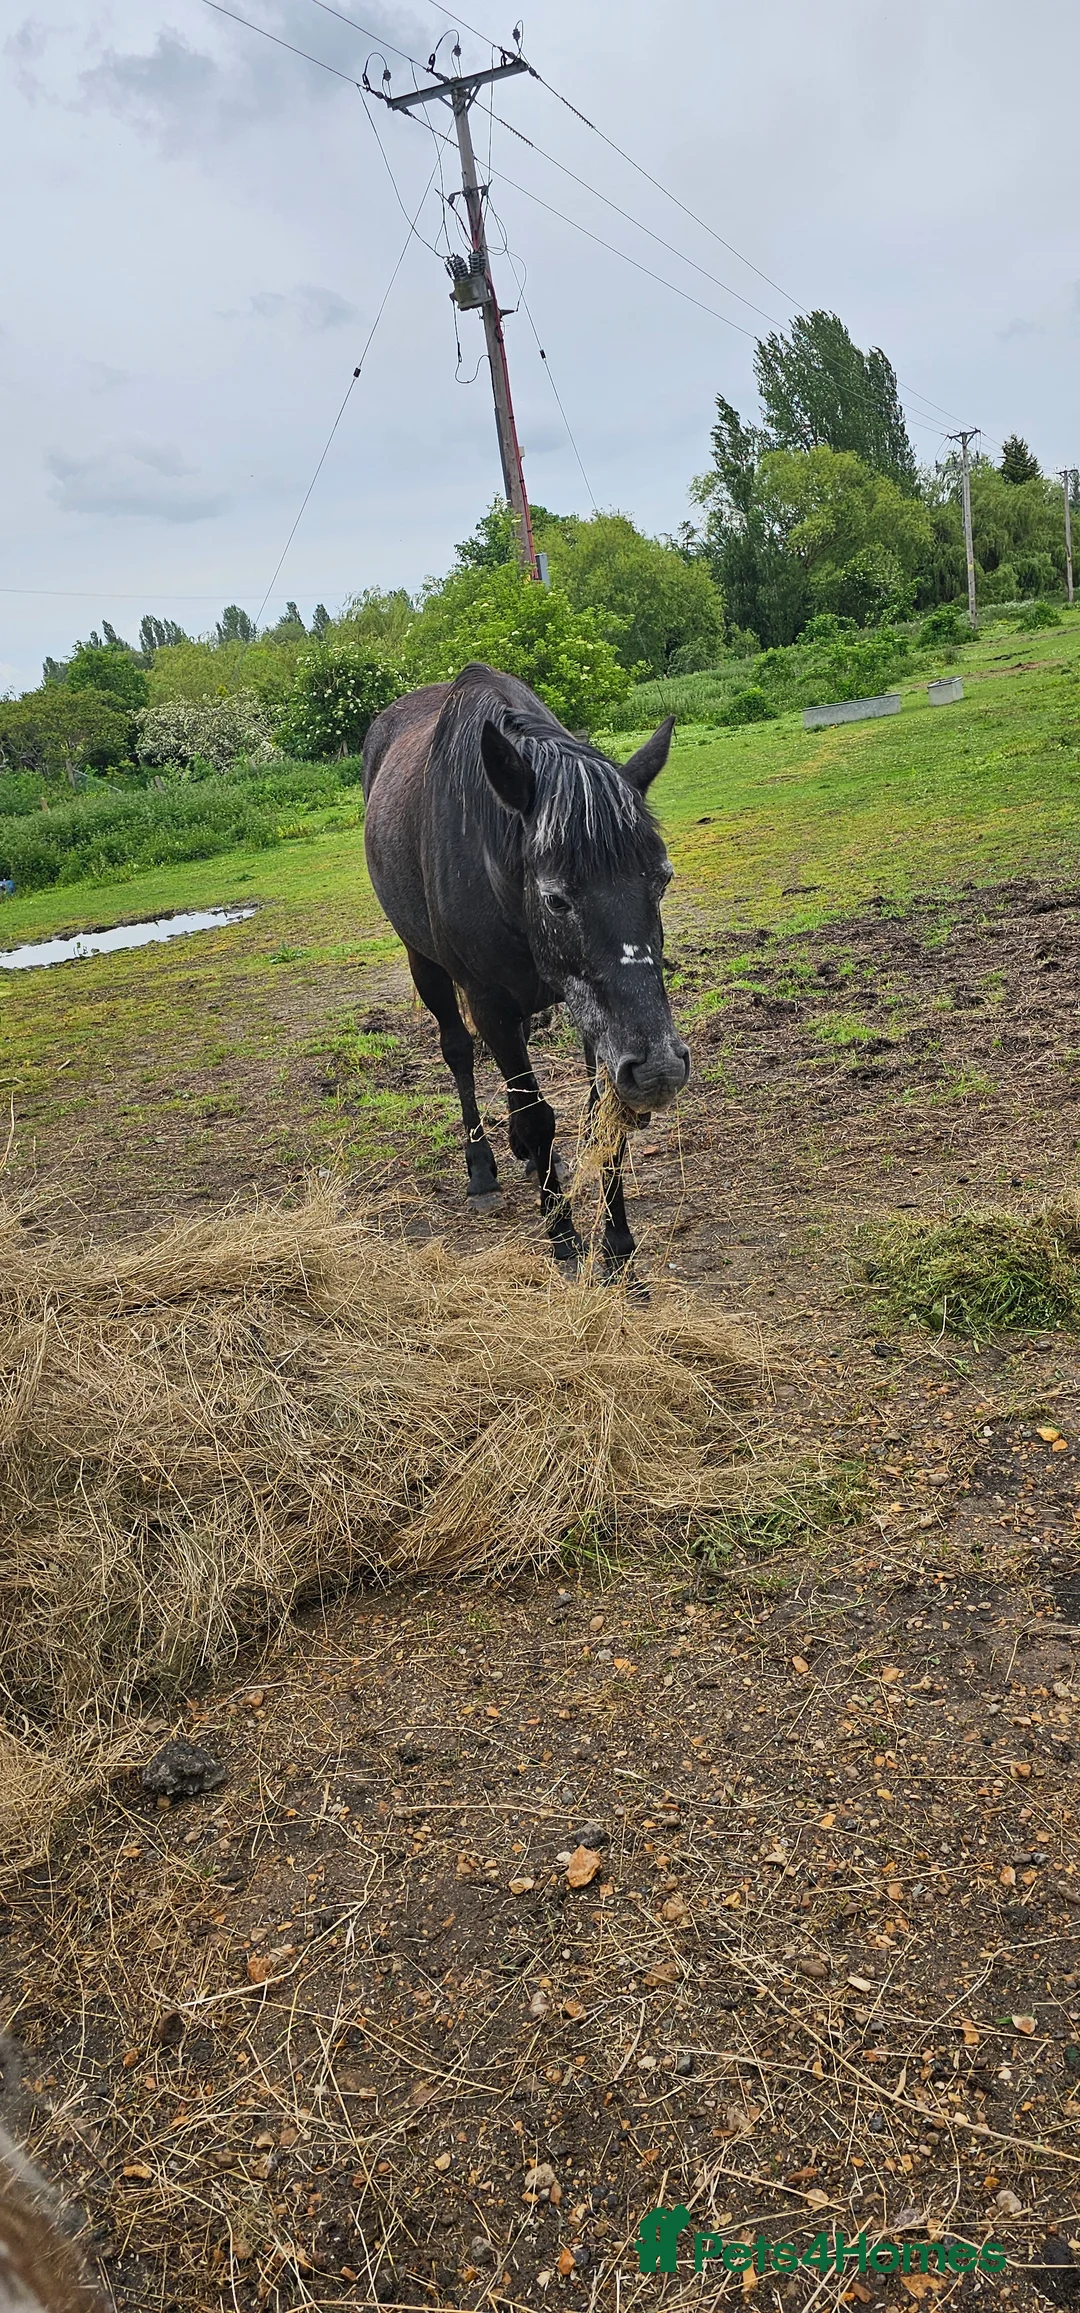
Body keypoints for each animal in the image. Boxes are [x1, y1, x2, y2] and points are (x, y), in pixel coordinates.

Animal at [361, 662, 689, 1277]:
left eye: (661, 879)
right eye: (556, 899)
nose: (659, 1068)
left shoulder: (594, 1022)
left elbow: (598, 1117)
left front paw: (618, 1247)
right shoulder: (490, 1002)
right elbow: (537, 1116)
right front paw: (564, 1242)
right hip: (426, 964)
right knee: (459, 1051)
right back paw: (482, 1169)